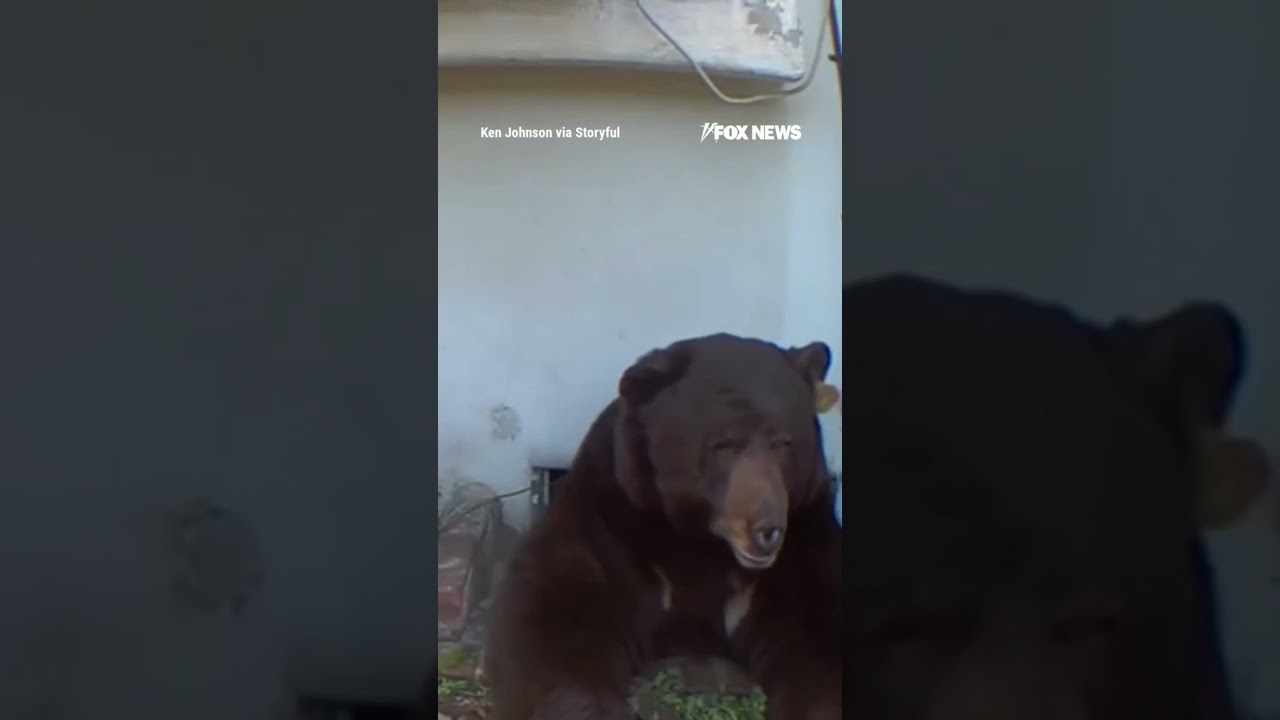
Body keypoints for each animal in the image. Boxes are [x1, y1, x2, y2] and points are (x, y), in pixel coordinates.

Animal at [482, 333, 843, 720]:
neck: (700, 539)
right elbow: (553, 619)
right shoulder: (608, 527)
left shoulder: (801, 545)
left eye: (784, 442)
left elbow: (819, 637)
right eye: (723, 445)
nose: (766, 530)